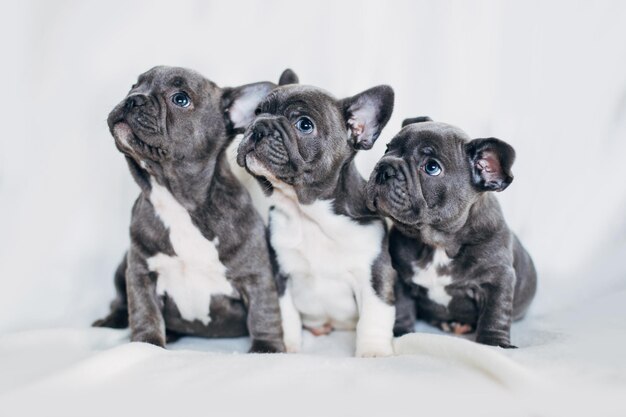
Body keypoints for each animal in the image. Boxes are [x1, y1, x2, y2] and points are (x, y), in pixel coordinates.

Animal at [93, 66, 298, 352]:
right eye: (134, 86)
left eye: (181, 99)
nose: (133, 99)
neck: (178, 201)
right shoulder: (141, 274)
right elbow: (145, 312)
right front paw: (146, 345)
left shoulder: (255, 276)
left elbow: (264, 314)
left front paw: (266, 349)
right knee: (120, 303)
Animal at [234, 83, 394, 354]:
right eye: (257, 112)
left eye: (304, 124)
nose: (260, 126)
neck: (309, 214)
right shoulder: (280, 274)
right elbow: (286, 314)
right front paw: (287, 345)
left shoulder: (376, 275)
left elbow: (374, 315)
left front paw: (373, 351)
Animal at [366, 117, 536, 348]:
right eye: (387, 148)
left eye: (431, 167)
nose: (384, 167)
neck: (438, 243)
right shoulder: (401, 277)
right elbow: (402, 306)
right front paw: (401, 332)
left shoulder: (497, 280)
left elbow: (495, 313)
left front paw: (493, 343)